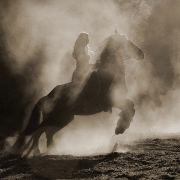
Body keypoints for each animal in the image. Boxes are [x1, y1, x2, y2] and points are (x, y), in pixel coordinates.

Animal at [12, 33, 144, 155]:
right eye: (126, 42)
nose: (141, 53)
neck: (109, 73)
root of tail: (47, 96)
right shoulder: (112, 101)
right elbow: (129, 107)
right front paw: (120, 128)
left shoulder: (119, 100)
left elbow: (131, 106)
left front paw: (121, 127)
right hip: (58, 118)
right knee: (39, 131)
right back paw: (38, 151)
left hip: (64, 119)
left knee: (46, 133)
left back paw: (51, 150)